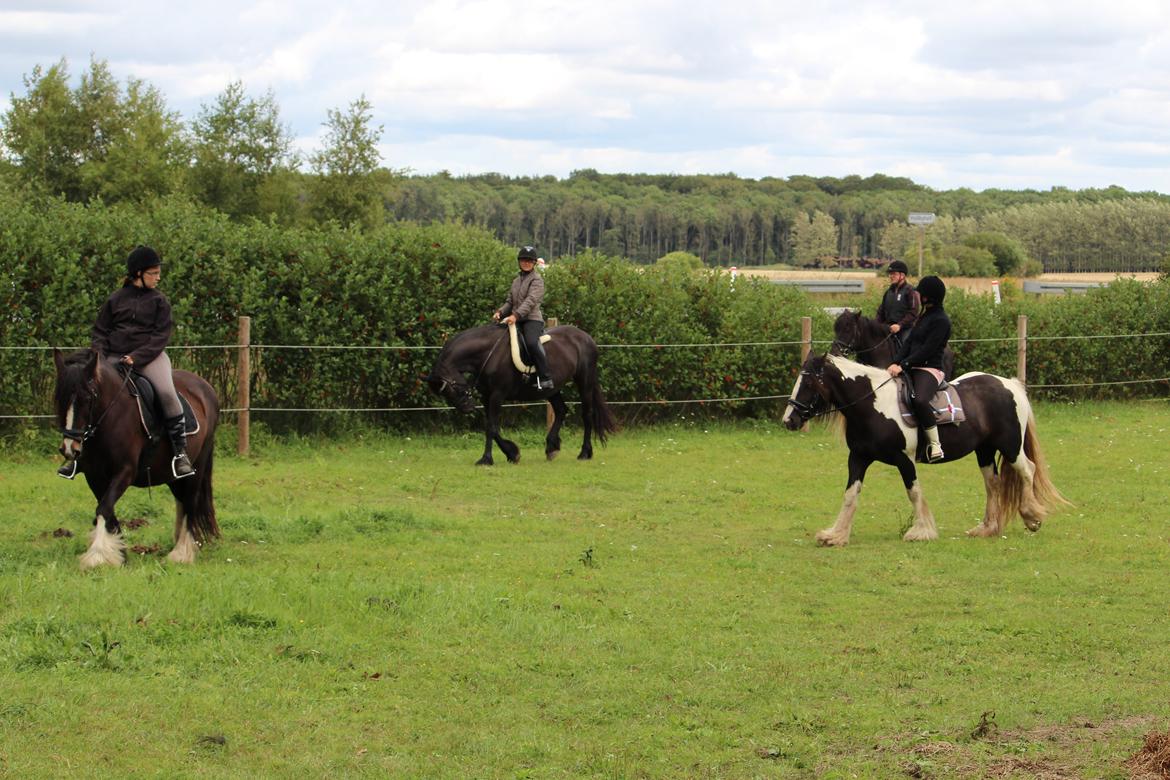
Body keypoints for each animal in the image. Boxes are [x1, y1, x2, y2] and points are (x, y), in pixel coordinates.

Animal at [54, 350, 221, 570]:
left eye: (88, 398)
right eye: (59, 398)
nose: (69, 449)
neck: (111, 417)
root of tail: (206, 387)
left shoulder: (125, 471)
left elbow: (104, 507)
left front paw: (98, 555)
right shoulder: (94, 476)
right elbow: (107, 508)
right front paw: (119, 553)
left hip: (197, 466)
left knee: (190, 501)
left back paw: (181, 553)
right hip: (171, 474)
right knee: (181, 499)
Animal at [425, 322, 617, 463]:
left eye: (450, 388)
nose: (467, 408)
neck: (488, 353)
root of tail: (586, 337)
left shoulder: (497, 395)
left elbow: (491, 427)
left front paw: (486, 459)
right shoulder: (488, 397)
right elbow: (492, 427)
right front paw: (512, 453)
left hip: (584, 381)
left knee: (587, 414)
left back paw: (584, 453)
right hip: (552, 388)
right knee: (561, 410)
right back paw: (552, 447)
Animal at [781, 350, 1067, 547]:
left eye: (809, 384)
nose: (789, 420)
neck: (873, 405)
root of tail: (1010, 384)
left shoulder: (904, 459)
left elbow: (914, 492)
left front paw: (921, 531)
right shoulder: (859, 458)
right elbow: (851, 495)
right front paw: (835, 535)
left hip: (1010, 446)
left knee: (1028, 470)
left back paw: (1031, 516)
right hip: (984, 451)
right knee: (993, 484)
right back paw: (987, 528)